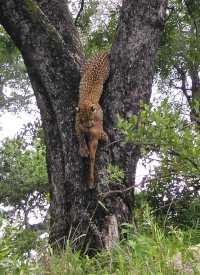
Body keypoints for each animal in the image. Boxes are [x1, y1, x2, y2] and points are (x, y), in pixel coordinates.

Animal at [75, 52, 110, 190]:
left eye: (90, 119)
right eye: (84, 119)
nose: (89, 126)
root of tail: (104, 52)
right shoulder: (77, 122)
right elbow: (80, 136)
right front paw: (83, 149)